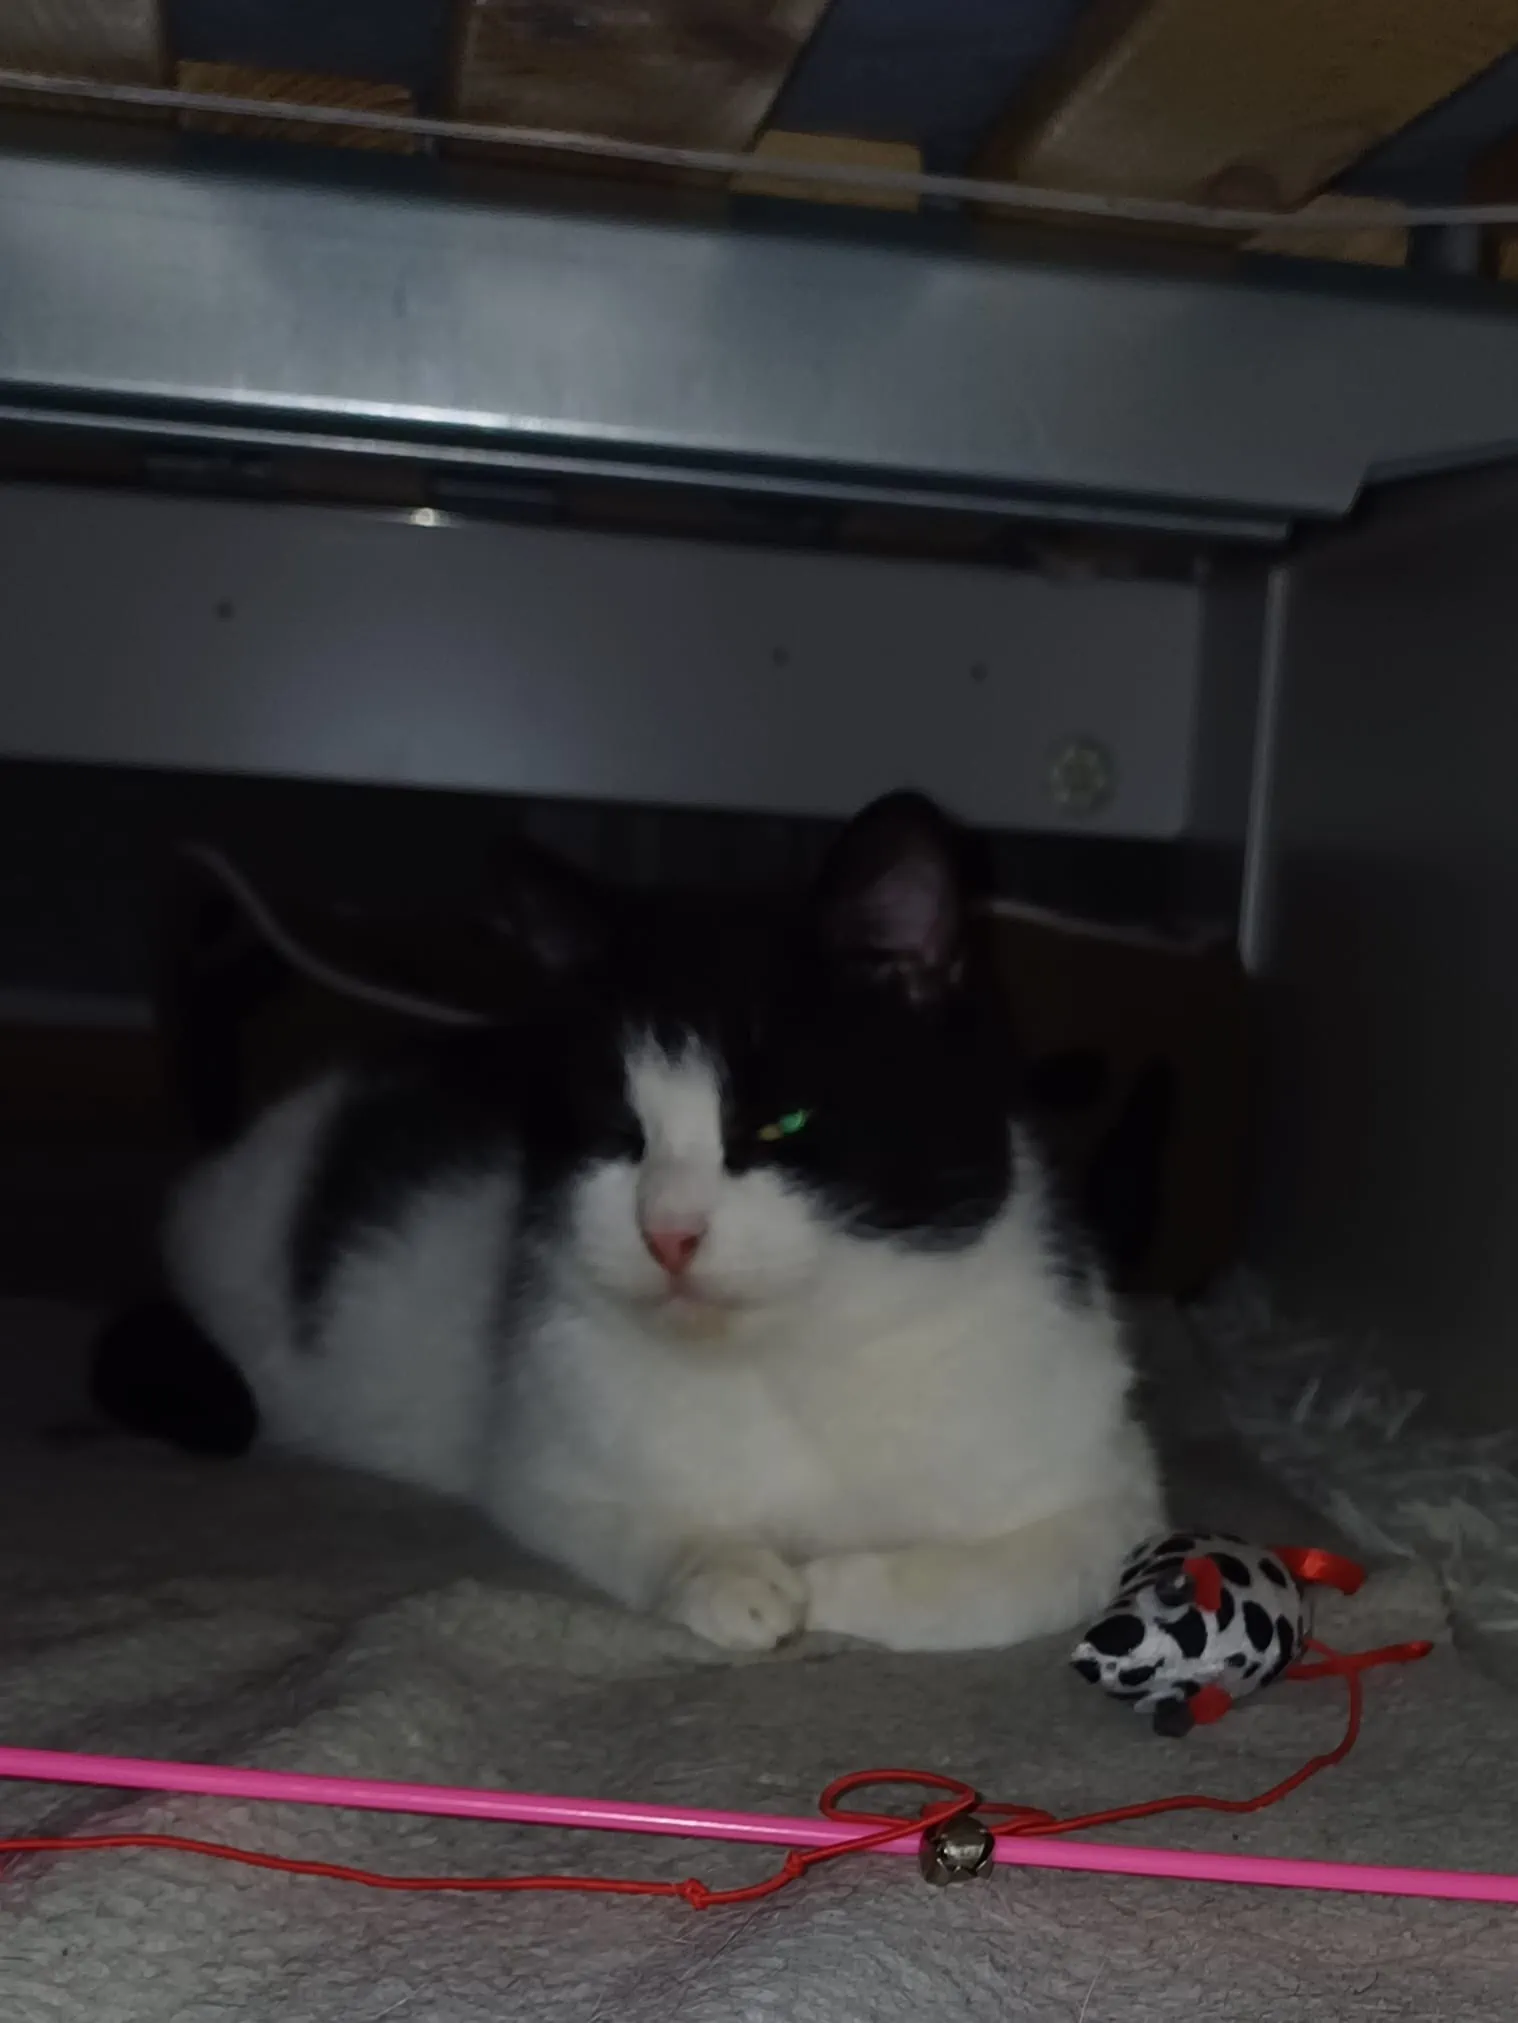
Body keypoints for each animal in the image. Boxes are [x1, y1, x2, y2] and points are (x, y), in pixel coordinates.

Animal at [153, 791, 1163, 1652]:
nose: (667, 1232)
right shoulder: (541, 1464)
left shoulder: (1114, 1491)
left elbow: (1023, 1573)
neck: (785, 1361)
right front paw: (729, 1573)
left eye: (781, 1122)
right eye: (618, 1131)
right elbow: (632, 1522)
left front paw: (843, 1586)